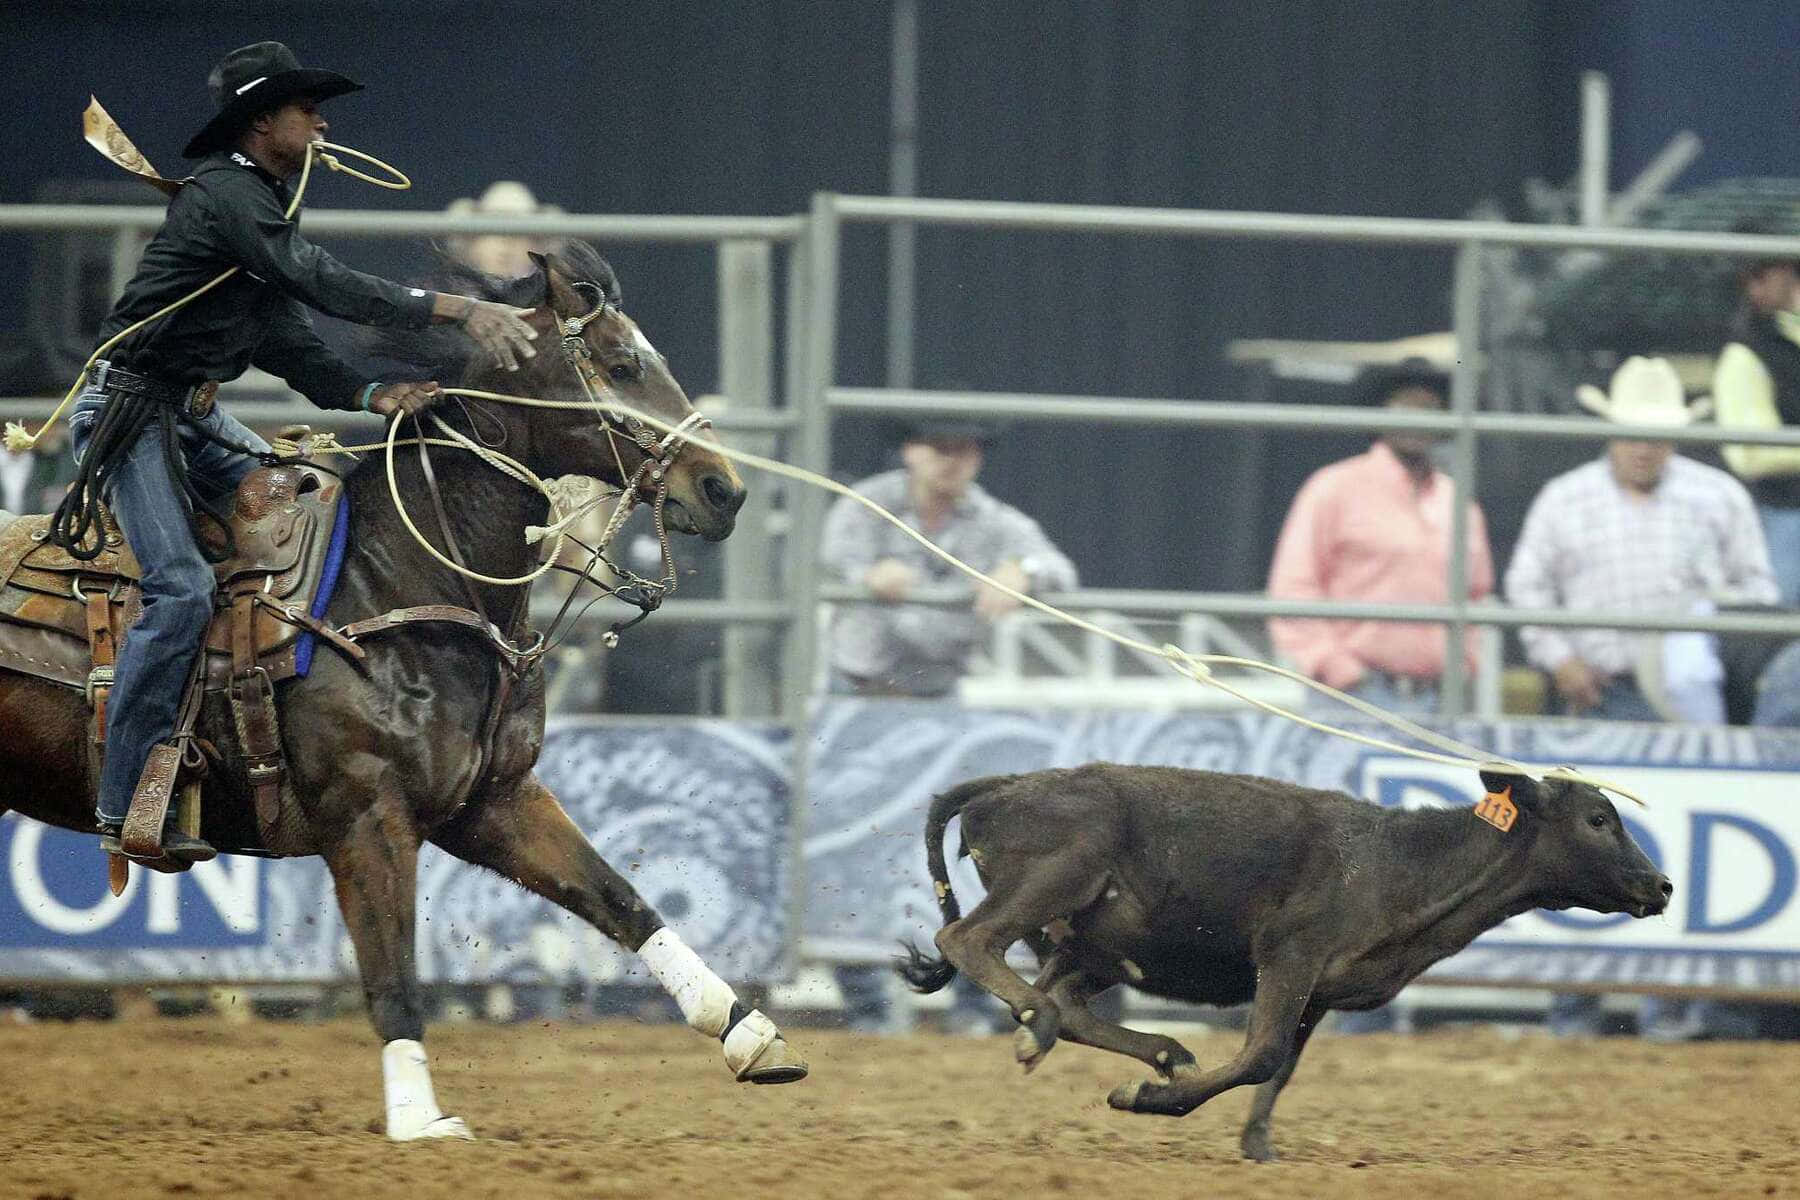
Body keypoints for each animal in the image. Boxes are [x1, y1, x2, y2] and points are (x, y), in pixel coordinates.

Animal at [0, 244, 810, 1137]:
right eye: (622, 364)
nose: (723, 489)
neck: (395, 580)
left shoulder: (493, 800)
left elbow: (622, 900)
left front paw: (748, 1031)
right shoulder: (368, 815)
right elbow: (392, 973)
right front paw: (420, 1117)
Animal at [900, 759, 1670, 1165]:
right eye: (1599, 819)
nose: (1661, 886)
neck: (1395, 864)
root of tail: (1004, 786)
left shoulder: (1320, 990)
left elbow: (1280, 1068)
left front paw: (1257, 1146)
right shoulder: (1288, 956)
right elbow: (1262, 1054)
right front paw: (1150, 1100)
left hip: (1100, 943)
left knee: (1064, 997)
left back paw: (1149, 1049)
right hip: (1058, 877)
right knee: (972, 943)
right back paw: (1064, 1033)